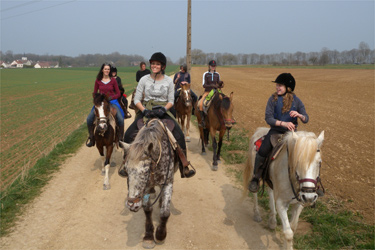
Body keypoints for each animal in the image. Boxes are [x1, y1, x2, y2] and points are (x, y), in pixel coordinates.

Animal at [120, 120, 179, 249]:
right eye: (126, 170)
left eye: (146, 171)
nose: (132, 205)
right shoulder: (145, 188)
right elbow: (147, 210)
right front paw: (148, 236)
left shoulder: (168, 183)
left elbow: (165, 212)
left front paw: (160, 235)